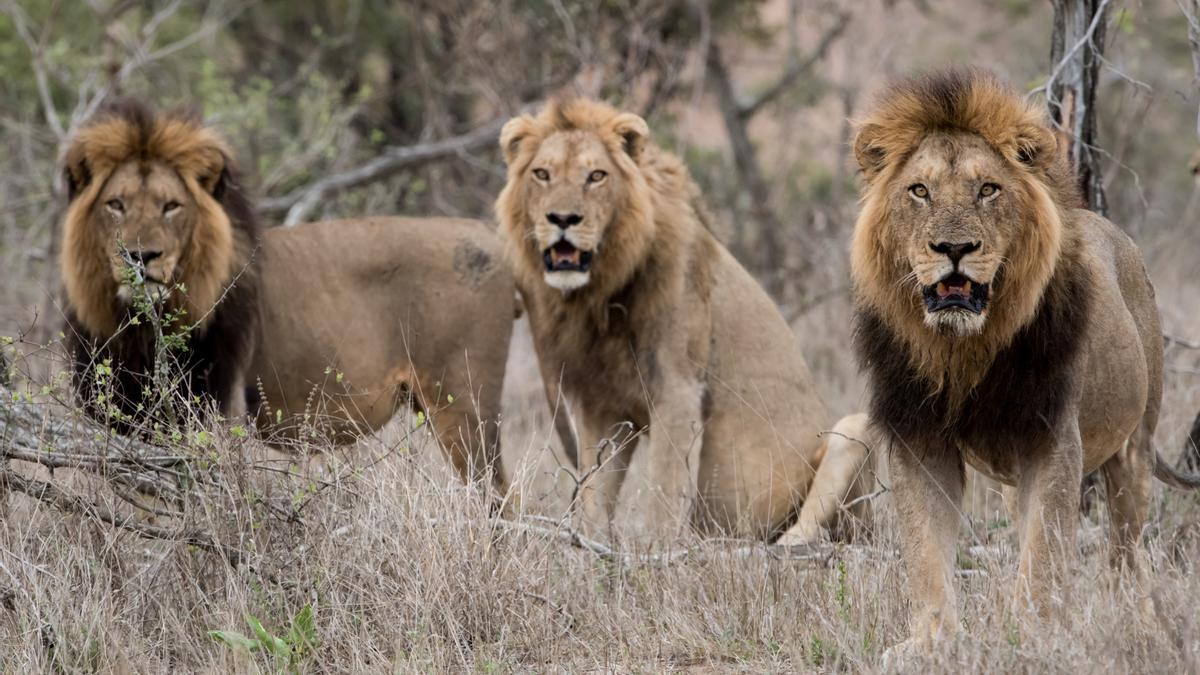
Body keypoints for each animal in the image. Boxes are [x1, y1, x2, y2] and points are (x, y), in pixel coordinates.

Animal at [57, 98, 516, 487]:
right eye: (116, 204)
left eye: (171, 206)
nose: (140, 256)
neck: (137, 328)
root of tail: (490, 234)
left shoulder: (219, 410)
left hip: (464, 405)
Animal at [492, 98, 878, 540]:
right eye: (542, 174)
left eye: (596, 176)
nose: (562, 219)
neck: (601, 291)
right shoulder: (603, 406)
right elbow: (594, 496)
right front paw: (590, 548)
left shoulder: (677, 392)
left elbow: (662, 494)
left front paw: (654, 553)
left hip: (854, 433)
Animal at [849, 69, 1200, 658]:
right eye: (919, 190)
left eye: (988, 188)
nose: (954, 248)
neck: (964, 349)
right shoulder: (919, 440)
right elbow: (925, 550)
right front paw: (930, 642)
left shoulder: (1052, 438)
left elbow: (1045, 553)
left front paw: (1033, 638)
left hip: (1135, 443)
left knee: (1125, 550)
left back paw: (1135, 622)